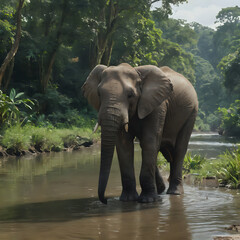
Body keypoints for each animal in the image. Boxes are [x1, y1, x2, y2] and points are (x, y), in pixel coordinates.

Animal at [81, 62, 198, 203]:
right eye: (99, 94)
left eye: (130, 95)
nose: (104, 201)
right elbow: (124, 145)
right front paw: (128, 200)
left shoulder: (158, 106)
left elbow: (149, 141)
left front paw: (148, 201)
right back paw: (160, 190)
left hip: (192, 113)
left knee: (179, 149)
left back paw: (174, 193)